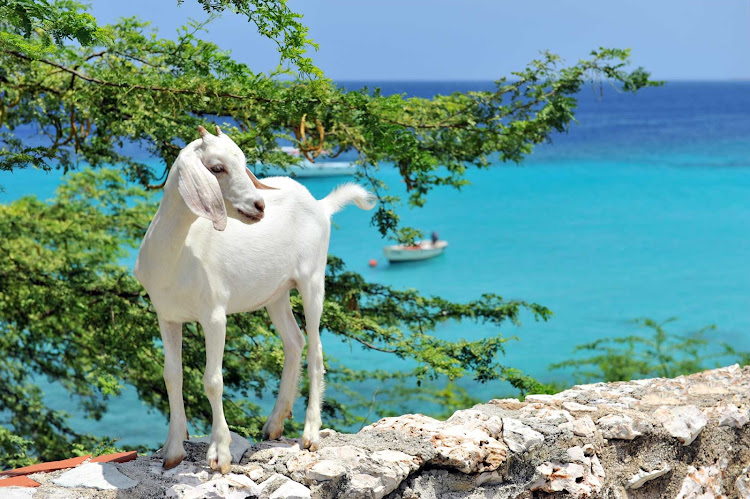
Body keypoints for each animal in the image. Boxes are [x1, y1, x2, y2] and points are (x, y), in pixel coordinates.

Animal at [135, 125, 376, 472]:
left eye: (243, 162)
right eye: (217, 167)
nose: (259, 205)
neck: (178, 255)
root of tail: (321, 205)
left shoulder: (214, 315)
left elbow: (212, 380)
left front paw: (219, 453)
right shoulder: (166, 316)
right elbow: (172, 376)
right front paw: (172, 450)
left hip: (312, 279)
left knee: (315, 349)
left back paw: (310, 434)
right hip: (276, 293)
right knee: (294, 341)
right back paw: (275, 423)